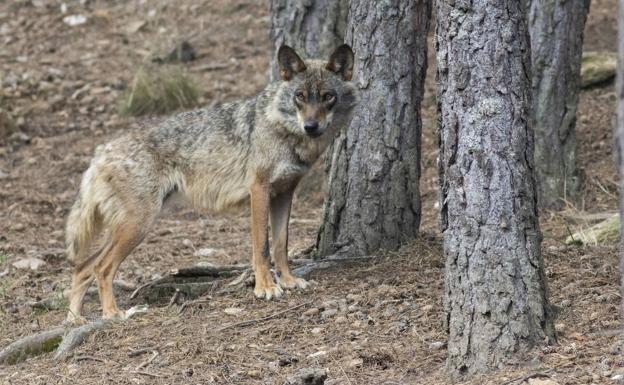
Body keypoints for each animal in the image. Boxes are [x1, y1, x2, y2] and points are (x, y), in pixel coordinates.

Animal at [64, 45, 358, 320]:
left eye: (327, 96)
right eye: (300, 96)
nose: (311, 126)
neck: (283, 130)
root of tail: (101, 151)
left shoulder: (284, 194)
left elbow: (280, 245)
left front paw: (288, 281)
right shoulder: (259, 190)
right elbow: (262, 248)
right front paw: (265, 288)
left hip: (128, 228)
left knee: (82, 268)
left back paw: (75, 321)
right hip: (138, 226)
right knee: (101, 267)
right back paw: (113, 314)